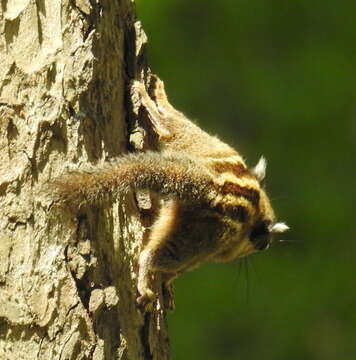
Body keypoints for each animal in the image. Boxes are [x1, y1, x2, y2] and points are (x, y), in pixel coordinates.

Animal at [51, 75, 288, 310]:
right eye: (261, 241)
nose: (265, 245)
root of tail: (210, 185)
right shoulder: (209, 248)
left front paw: (167, 285)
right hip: (197, 230)